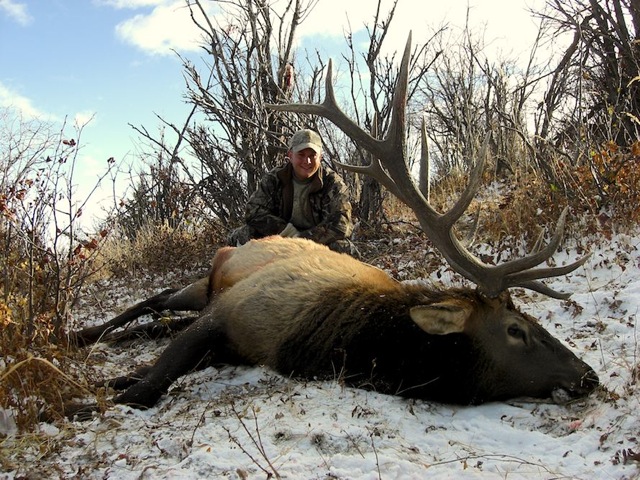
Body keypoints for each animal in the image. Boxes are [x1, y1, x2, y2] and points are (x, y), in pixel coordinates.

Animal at [75, 34, 600, 408]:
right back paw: (77, 334)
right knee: (154, 300)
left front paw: (113, 377)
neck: (319, 339)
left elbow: (141, 375)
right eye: (516, 330)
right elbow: (142, 390)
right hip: (206, 280)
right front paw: (76, 401)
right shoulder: (226, 312)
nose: (588, 375)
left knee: (156, 320)